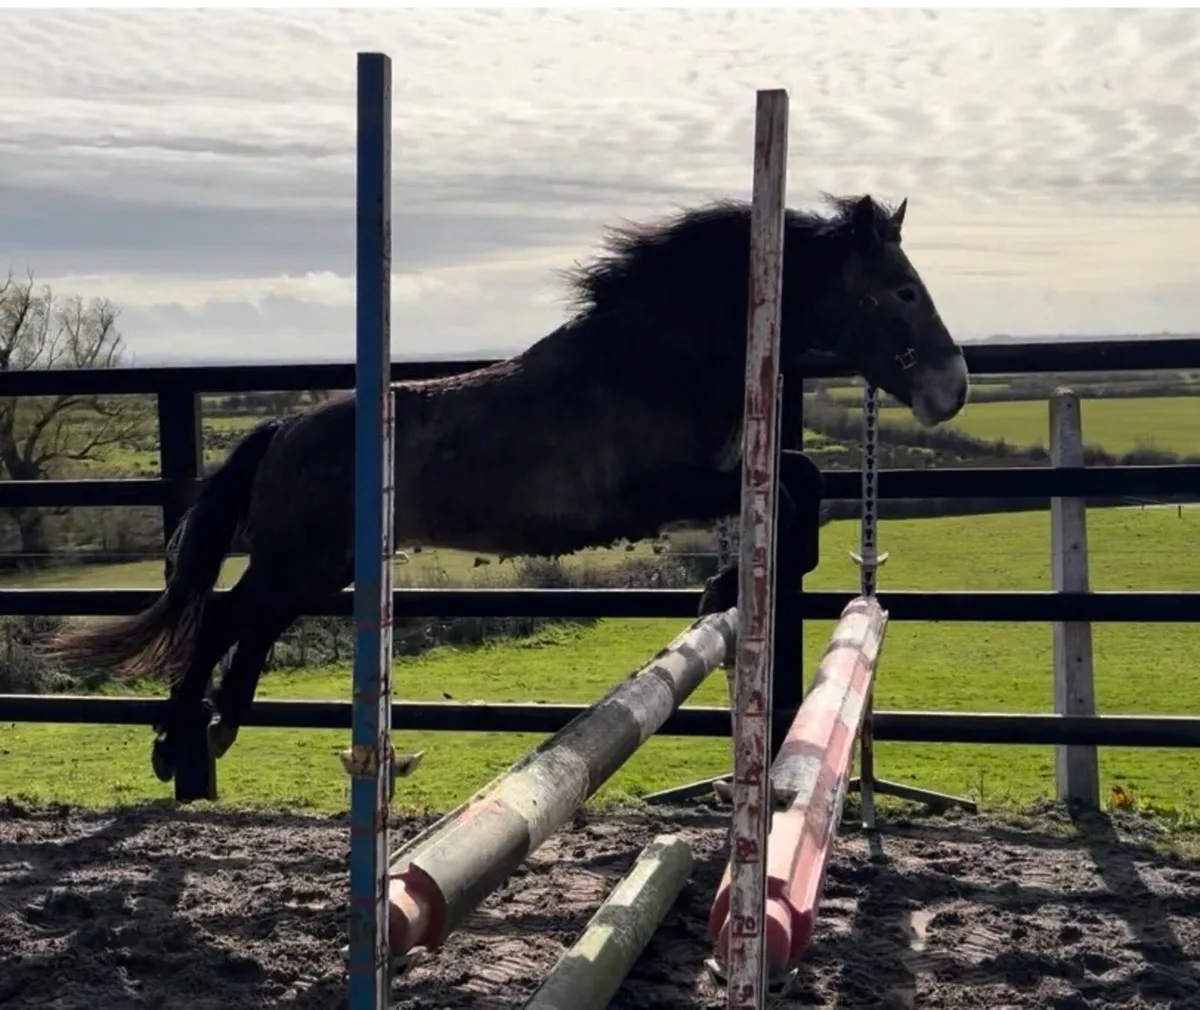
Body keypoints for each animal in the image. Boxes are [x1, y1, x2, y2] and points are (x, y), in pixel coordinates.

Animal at [49, 193, 970, 784]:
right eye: (902, 291)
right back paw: (178, 743)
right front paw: (732, 583)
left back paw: (221, 723)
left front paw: (736, 581)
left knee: (250, 621)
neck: (661, 354)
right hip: (298, 560)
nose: (953, 389)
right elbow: (794, 481)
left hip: (321, 567)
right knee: (221, 618)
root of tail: (283, 429)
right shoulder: (658, 491)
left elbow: (798, 478)